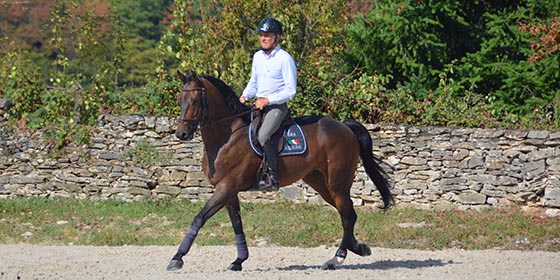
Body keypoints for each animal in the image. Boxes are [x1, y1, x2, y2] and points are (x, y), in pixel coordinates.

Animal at [166, 70, 394, 272]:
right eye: (179, 100)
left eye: (195, 101)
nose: (181, 134)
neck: (227, 136)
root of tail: (344, 126)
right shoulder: (229, 191)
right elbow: (237, 224)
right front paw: (239, 260)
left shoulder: (227, 186)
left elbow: (199, 218)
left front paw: (177, 258)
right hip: (321, 183)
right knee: (348, 213)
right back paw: (358, 248)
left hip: (337, 183)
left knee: (347, 215)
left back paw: (336, 259)